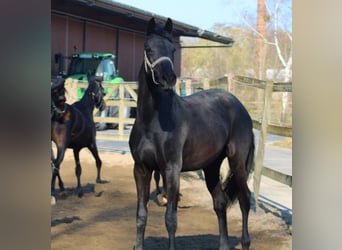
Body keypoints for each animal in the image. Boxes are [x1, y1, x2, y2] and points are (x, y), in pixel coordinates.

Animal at [51, 75, 105, 204]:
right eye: (103, 90)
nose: (103, 106)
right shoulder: (91, 144)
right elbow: (98, 161)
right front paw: (98, 180)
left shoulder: (76, 149)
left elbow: (78, 170)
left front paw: (79, 191)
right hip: (62, 147)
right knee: (56, 165)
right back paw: (53, 193)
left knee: (54, 164)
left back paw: (62, 189)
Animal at [130, 18, 255, 250]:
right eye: (148, 48)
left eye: (172, 49)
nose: (168, 78)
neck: (153, 122)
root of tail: (239, 106)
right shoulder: (141, 168)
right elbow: (141, 216)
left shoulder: (171, 169)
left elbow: (170, 218)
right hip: (211, 166)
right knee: (220, 202)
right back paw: (224, 245)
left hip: (238, 162)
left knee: (244, 199)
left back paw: (245, 242)